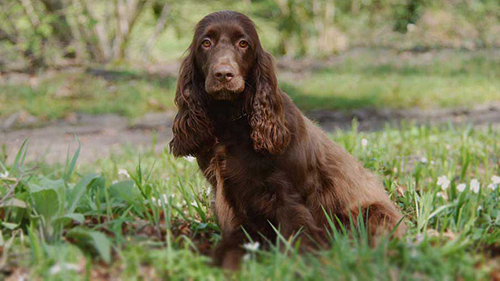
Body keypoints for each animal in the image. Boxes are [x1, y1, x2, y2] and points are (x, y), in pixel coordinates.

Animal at [170, 11, 404, 270]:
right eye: (206, 43)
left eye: (243, 43)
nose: (223, 74)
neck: (231, 122)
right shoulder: (226, 195)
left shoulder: (288, 198)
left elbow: (293, 240)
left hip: (374, 213)